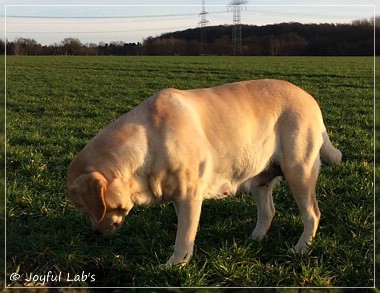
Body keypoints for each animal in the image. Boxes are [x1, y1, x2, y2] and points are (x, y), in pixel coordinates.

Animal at [67, 79, 342, 264]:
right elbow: (182, 232)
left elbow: (185, 235)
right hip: (259, 177)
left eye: (86, 208)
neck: (147, 143)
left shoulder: (189, 196)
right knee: (268, 211)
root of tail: (310, 99)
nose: (96, 233)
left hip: (299, 172)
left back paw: (300, 248)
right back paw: (254, 239)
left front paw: (175, 264)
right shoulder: (177, 196)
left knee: (312, 214)